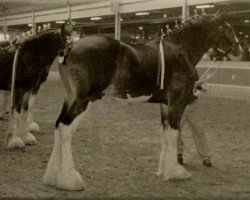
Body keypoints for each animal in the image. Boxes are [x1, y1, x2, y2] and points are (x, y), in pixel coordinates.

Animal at [43, 11, 242, 191]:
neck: (180, 49)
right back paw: (70, 180)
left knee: (58, 126)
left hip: (70, 98)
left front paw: (163, 170)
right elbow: (173, 133)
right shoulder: (177, 103)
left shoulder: (165, 104)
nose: (240, 51)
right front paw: (176, 172)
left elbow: (165, 133)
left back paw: (52, 177)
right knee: (66, 129)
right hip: (82, 100)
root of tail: (70, 47)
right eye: (228, 28)